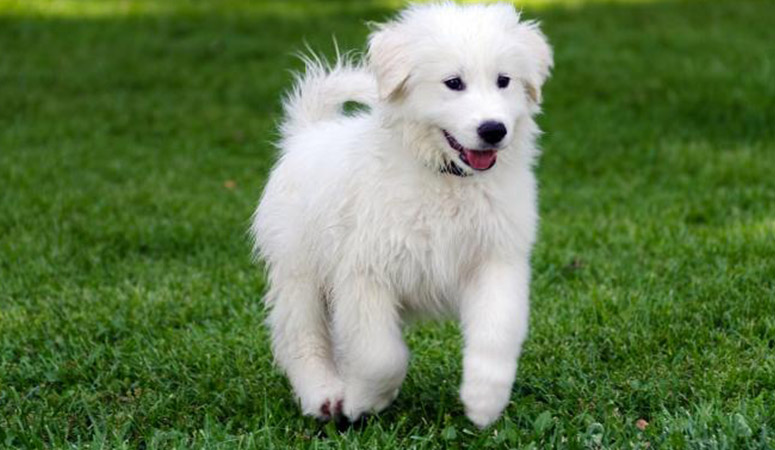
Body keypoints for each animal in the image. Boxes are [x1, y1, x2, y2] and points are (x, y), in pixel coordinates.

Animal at [252, 1, 556, 428]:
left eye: (504, 81)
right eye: (453, 83)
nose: (493, 130)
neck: (445, 178)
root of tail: (307, 133)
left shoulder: (496, 259)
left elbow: (496, 332)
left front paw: (484, 400)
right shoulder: (365, 272)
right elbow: (381, 356)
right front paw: (362, 400)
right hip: (299, 269)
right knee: (301, 335)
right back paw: (324, 394)